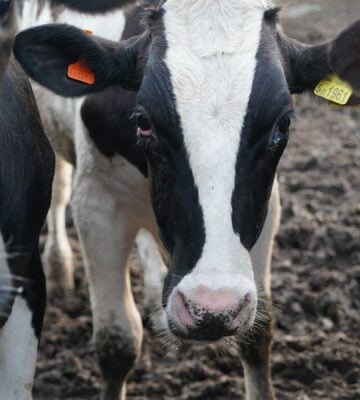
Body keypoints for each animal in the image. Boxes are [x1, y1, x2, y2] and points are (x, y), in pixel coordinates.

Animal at [14, 0, 360, 400]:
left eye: (282, 124)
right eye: (144, 121)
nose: (212, 309)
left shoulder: (266, 206)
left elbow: (257, 335)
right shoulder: (97, 203)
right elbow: (117, 342)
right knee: (58, 193)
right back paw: (59, 267)